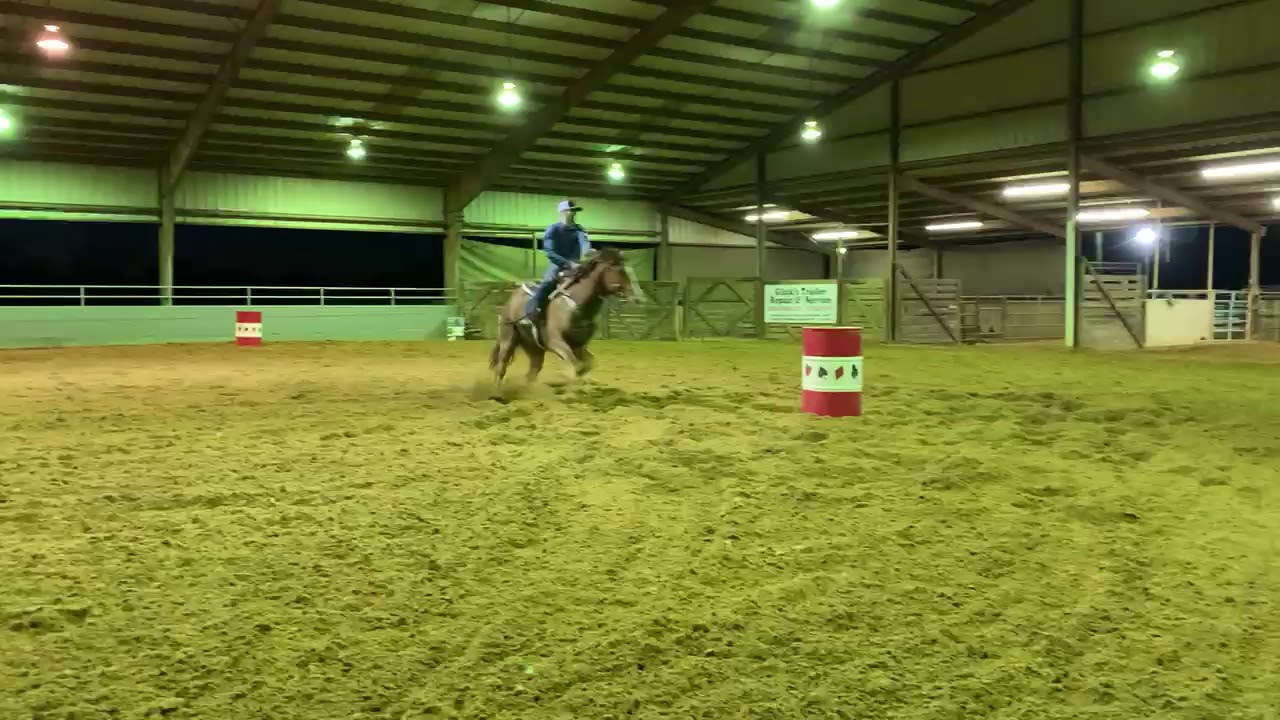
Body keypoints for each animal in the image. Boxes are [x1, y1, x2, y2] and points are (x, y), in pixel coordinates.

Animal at [489, 248, 635, 386]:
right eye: (616, 269)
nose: (630, 294)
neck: (577, 305)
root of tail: (510, 301)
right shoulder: (556, 342)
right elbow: (574, 364)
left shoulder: (579, 346)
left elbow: (588, 363)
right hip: (508, 339)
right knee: (501, 368)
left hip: (534, 348)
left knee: (532, 372)